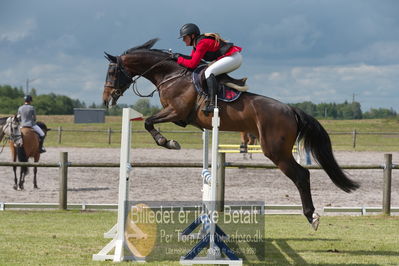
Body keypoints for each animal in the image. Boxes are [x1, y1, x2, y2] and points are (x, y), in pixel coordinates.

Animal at [102, 38, 360, 230]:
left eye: (112, 72)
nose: (106, 99)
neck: (170, 75)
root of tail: (291, 109)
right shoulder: (180, 117)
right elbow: (150, 122)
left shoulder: (175, 111)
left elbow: (148, 122)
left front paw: (168, 142)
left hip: (276, 151)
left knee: (301, 175)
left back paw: (311, 216)